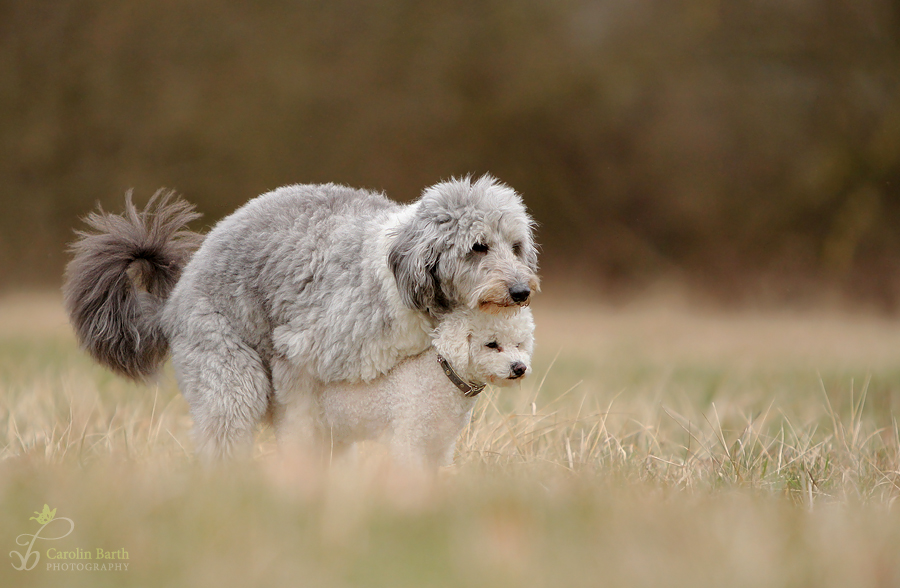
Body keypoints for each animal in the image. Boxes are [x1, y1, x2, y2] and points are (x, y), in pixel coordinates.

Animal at [67, 175, 540, 460]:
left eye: (516, 245)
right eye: (477, 246)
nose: (521, 291)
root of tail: (172, 302)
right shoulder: (298, 360)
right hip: (229, 372)